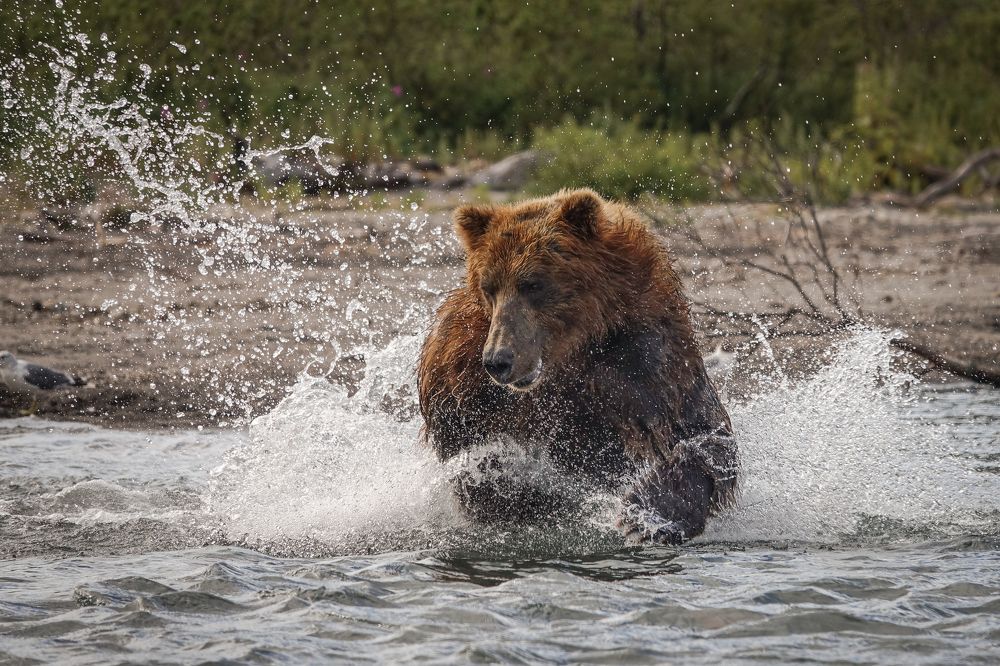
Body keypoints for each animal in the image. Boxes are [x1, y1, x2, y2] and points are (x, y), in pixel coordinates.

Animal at [417, 189, 737, 544]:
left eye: (533, 284)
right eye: (489, 286)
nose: (499, 359)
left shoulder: (651, 362)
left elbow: (703, 435)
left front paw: (647, 515)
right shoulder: (461, 380)